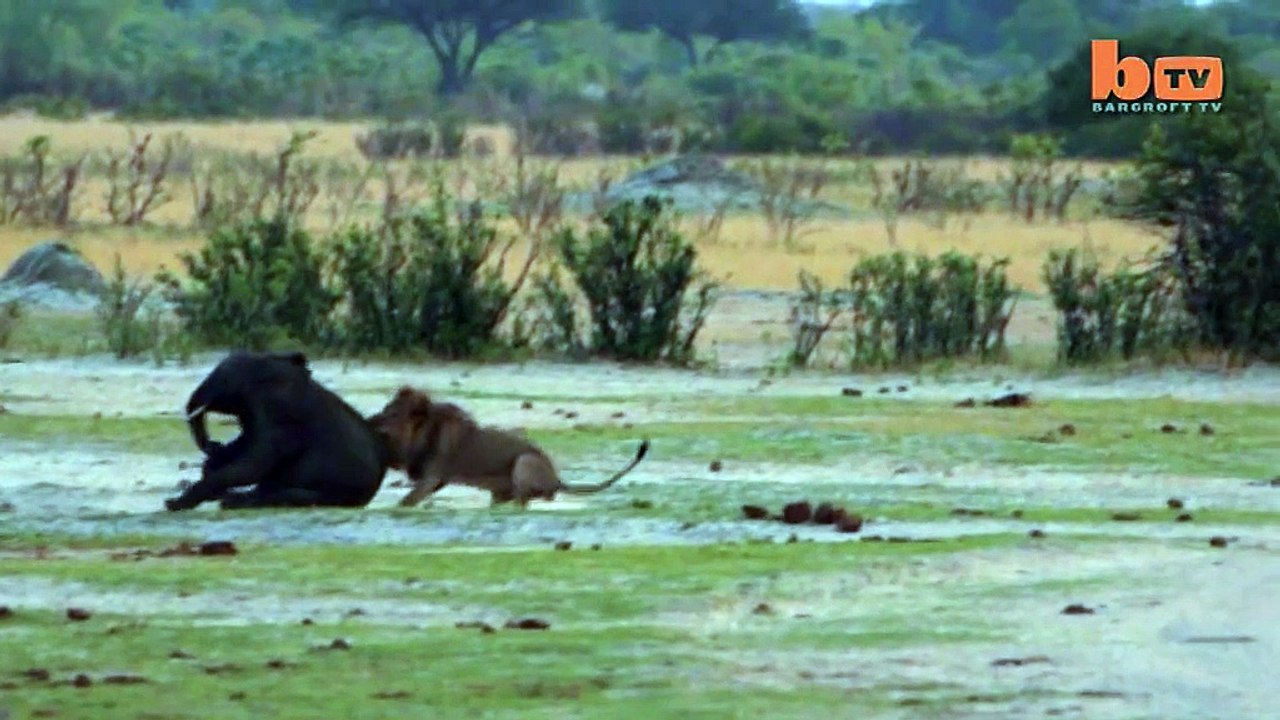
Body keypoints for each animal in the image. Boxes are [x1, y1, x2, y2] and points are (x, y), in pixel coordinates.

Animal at [164, 351, 389, 511]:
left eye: (225, 380)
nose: (212, 444)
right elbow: (244, 446)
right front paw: (215, 459)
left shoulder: (284, 420)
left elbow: (254, 465)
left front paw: (175, 504)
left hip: (333, 492)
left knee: (283, 494)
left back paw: (232, 501)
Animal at [368, 386, 650, 508]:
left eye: (390, 413)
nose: (370, 419)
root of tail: (557, 479)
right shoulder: (436, 480)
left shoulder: (432, 477)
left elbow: (406, 501)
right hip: (500, 490)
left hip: (524, 462)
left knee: (530, 497)